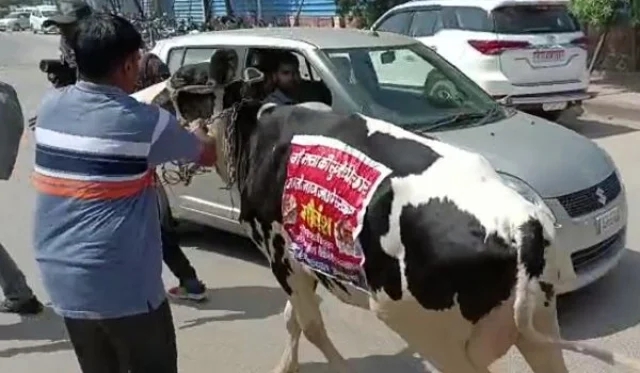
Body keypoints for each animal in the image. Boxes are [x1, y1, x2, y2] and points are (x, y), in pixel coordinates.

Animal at [132, 53, 640, 370]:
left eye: (179, 83)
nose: (138, 102)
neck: (257, 132)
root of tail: (520, 224)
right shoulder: (303, 260)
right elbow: (293, 320)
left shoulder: (282, 253)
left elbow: (309, 325)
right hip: (537, 323)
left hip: (428, 329)